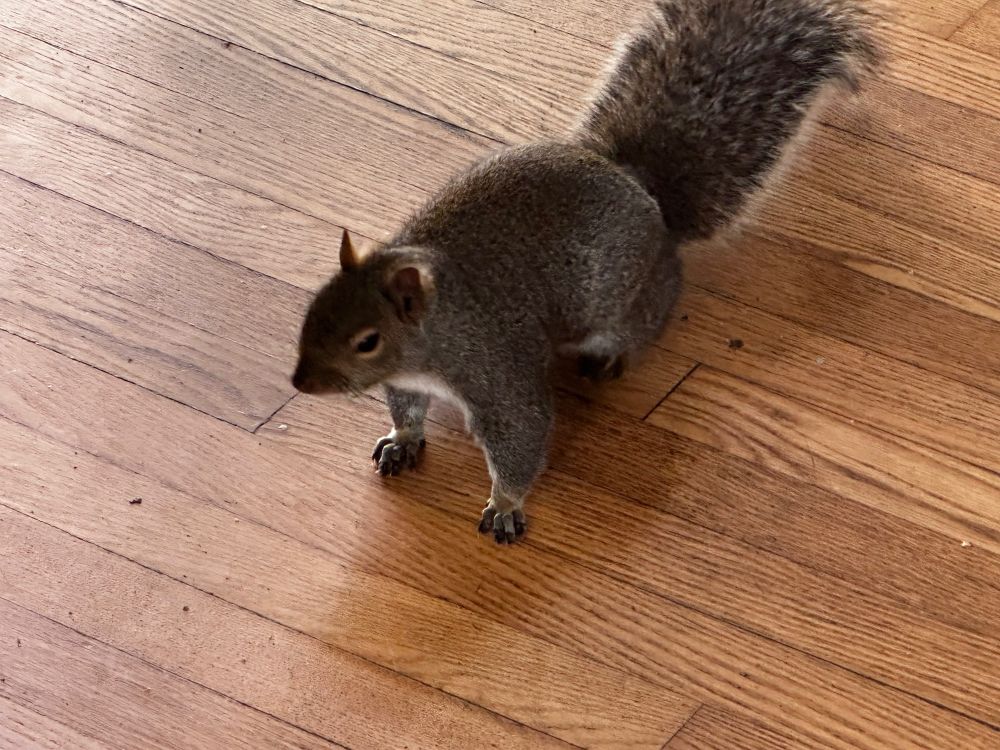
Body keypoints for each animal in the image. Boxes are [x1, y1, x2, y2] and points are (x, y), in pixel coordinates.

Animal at [292, 0, 882, 543]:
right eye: (313, 309)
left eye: (367, 340)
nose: (299, 383)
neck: (432, 334)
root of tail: (642, 191)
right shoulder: (408, 380)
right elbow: (408, 409)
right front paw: (402, 439)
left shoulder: (494, 369)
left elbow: (522, 435)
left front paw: (505, 505)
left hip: (627, 302)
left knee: (645, 320)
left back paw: (611, 356)